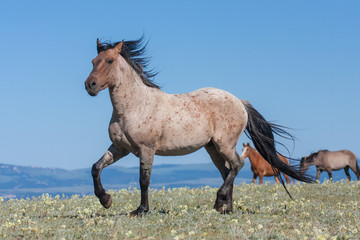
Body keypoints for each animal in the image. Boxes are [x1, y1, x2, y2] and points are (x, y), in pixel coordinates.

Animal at [83, 36, 312, 217]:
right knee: (227, 171)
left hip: (224, 144)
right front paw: (106, 200)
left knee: (237, 165)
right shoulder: (120, 148)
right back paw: (227, 208)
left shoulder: (146, 149)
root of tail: (239, 102)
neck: (135, 106)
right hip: (212, 148)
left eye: (110, 60)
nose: (90, 85)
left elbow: (144, 180)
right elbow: (96, 167)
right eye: (93, 61)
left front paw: (140, 210)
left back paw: (219, 202)